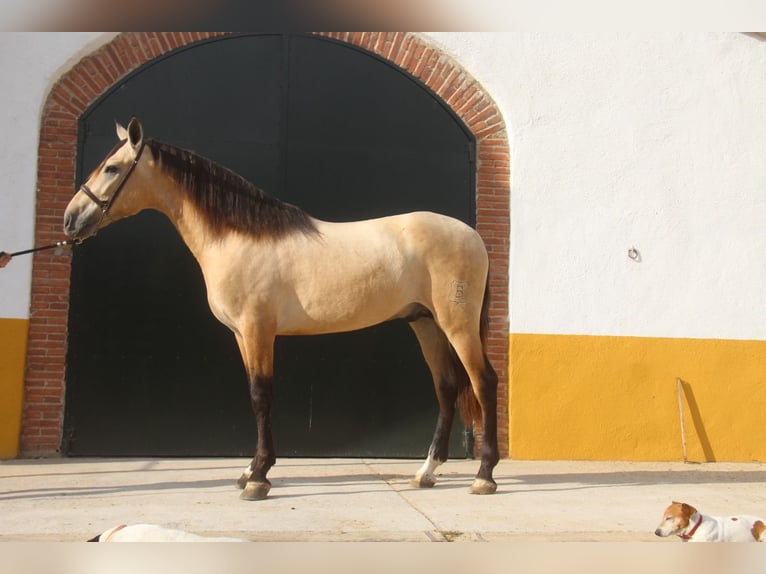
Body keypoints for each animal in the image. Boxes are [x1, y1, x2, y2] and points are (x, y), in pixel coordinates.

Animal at [63, 119, 500, 502]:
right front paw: (249, 472)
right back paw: (426, 472)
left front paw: (258, 477)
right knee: (446, 387)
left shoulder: (258, 330)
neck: (239, 236)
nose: (70, 220)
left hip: (457, 326)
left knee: (484, 382)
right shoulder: (241, 335)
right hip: (425, 324)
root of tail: (472, 235)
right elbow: (253, 393)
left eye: (113, 168)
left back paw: (484, 476)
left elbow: (261, 395)